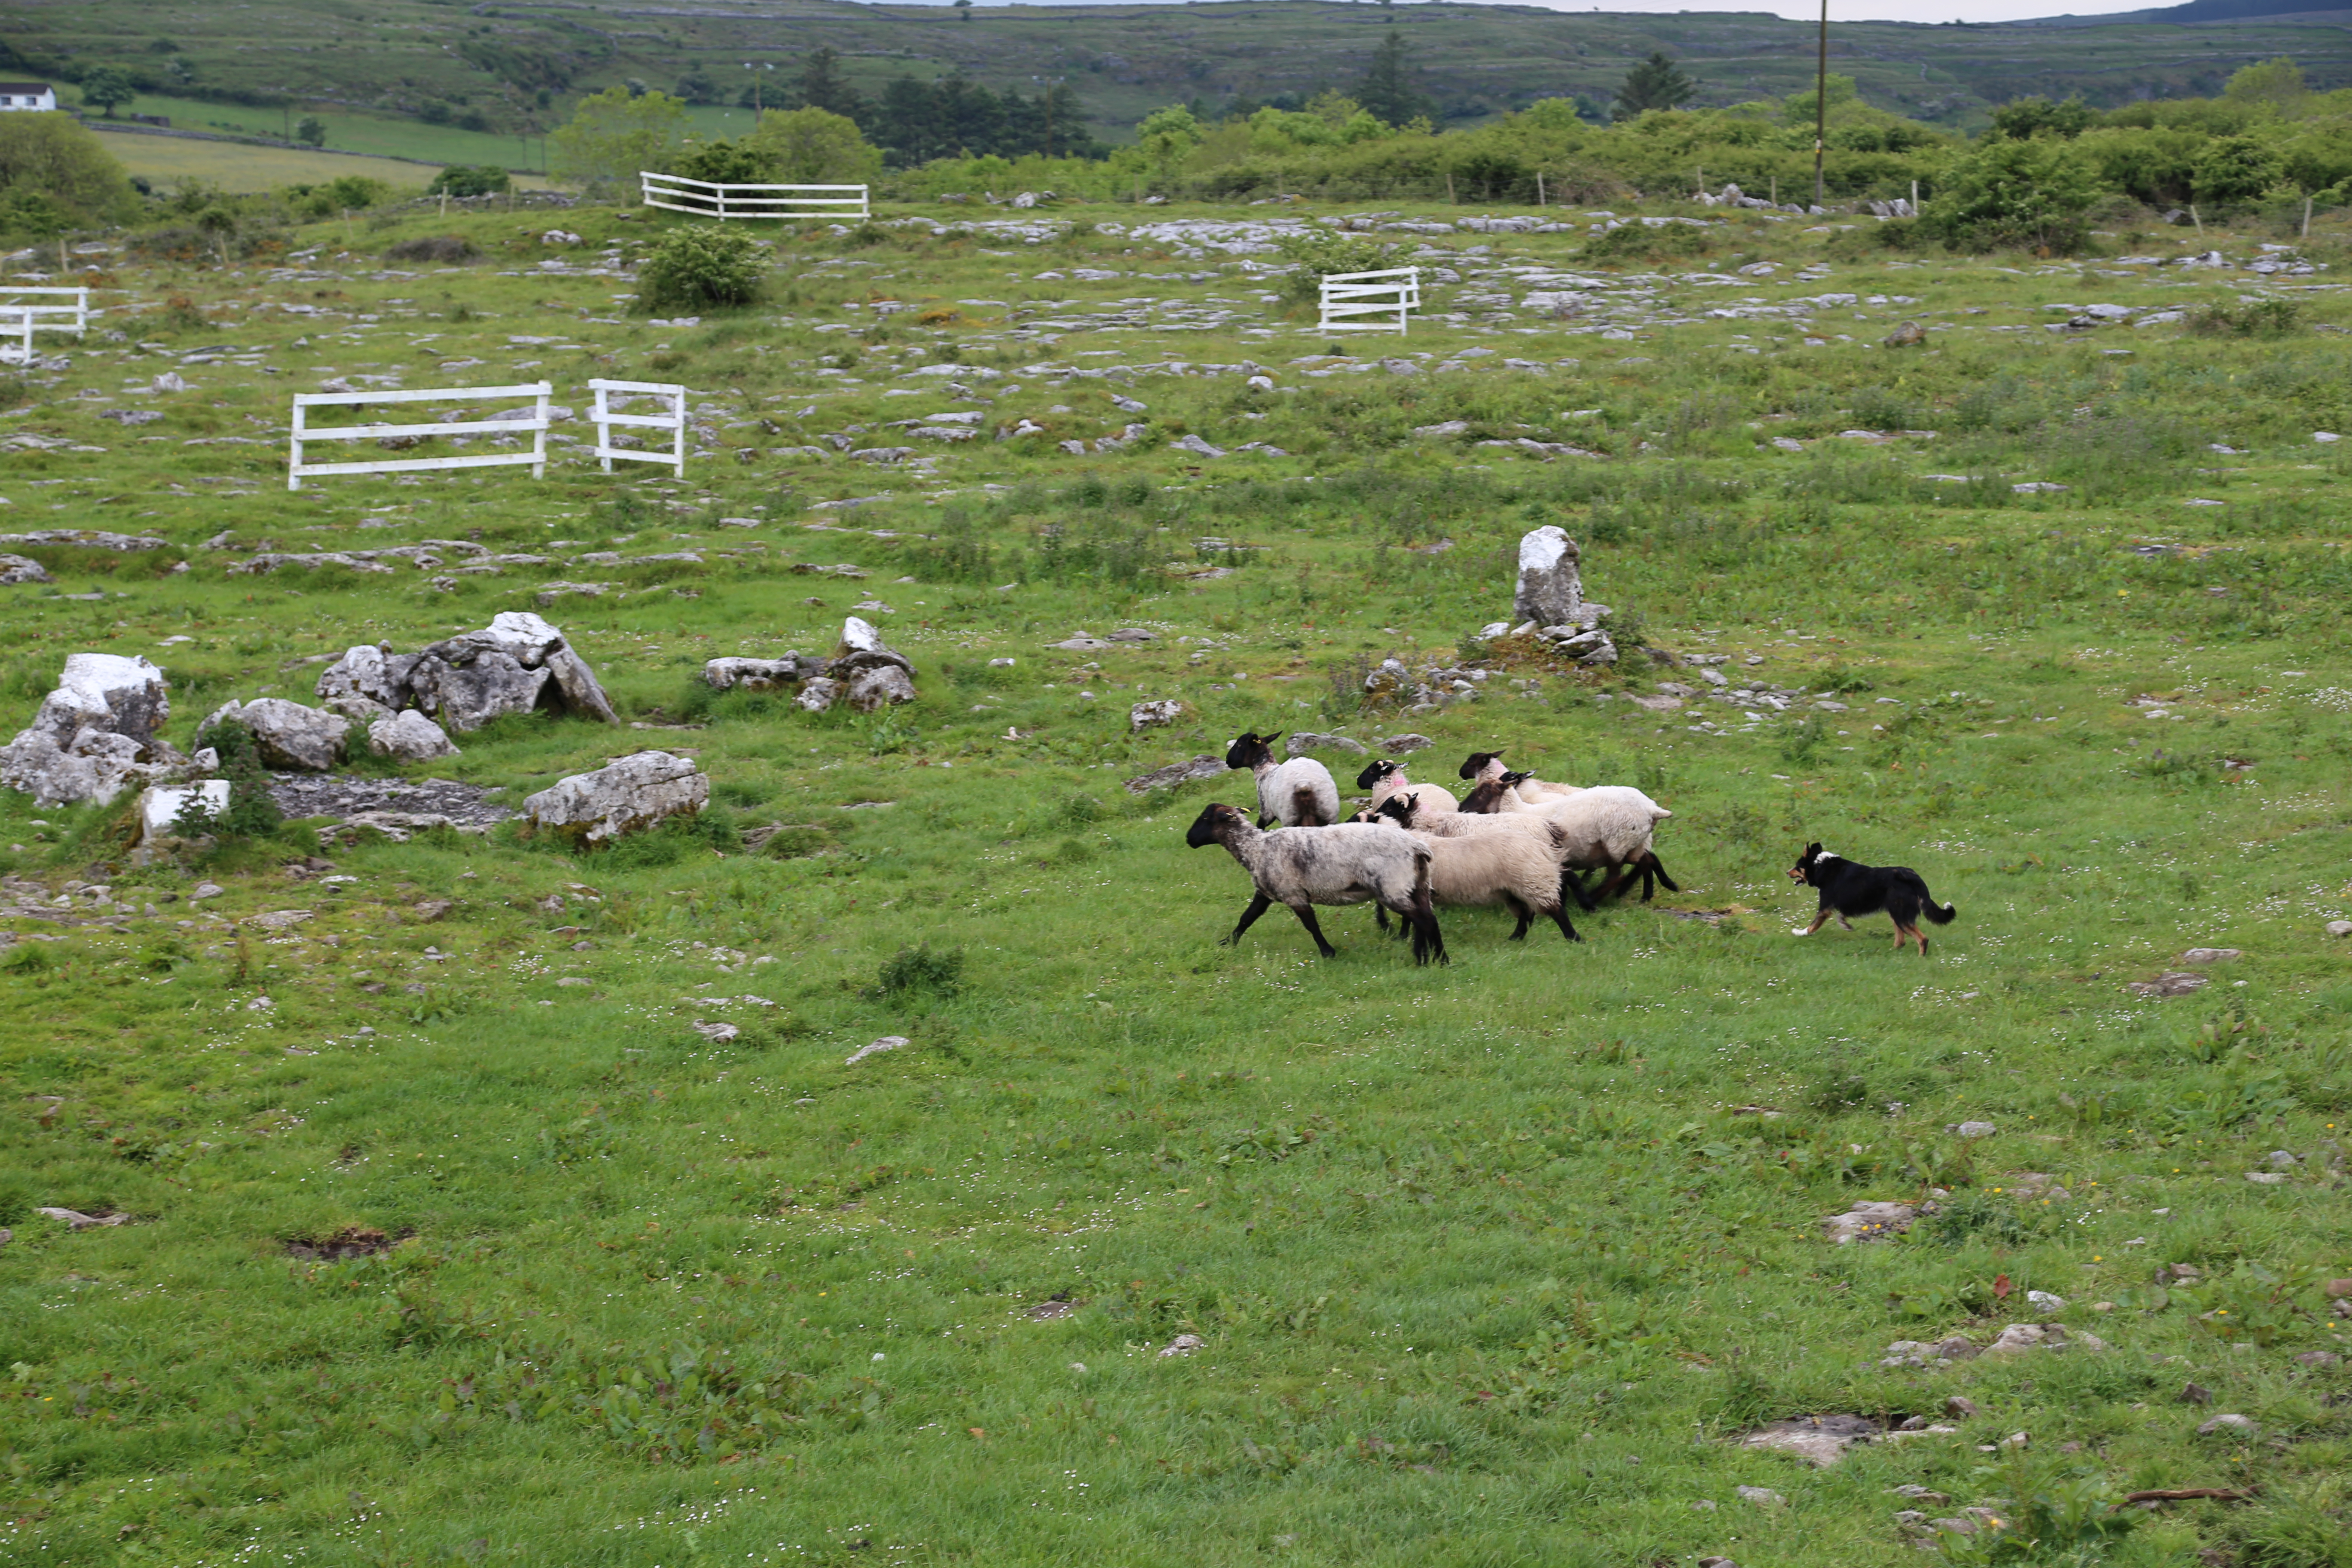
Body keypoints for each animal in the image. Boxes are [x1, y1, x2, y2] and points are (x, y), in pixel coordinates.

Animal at [1185, 804, 1439, 964]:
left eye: (1206, 818)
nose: (1189, 839)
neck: (1255, 848)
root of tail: (1417, 847)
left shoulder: (1293, 893)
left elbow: (1311, 925)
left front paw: (1328, 952)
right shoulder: (1266, 891)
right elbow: (1247, 918)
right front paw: (1227, 943)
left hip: (1392, 885)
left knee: (1423, 919)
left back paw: (1432, 958)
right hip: (1416, 885)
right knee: (1426, 918)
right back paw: (1431, 957)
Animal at [1223, 738, 1336, 832]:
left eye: (1239, 745)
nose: (1228, 760)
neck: (1265, 767)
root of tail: (1303, 783)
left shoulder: (1266, 811)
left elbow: (1260, 826)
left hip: (1289, 817)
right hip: (1328, 813)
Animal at [1787, 846, 1957, 959]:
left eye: (1798, 866)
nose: (1787, 872)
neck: (1821, 866)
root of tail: (1914, 877)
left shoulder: (1825, 907)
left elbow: (1812, 926)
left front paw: (1799, 932)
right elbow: (1841, 916)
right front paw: (1846, 926)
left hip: (1900, 914)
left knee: (1922, 939)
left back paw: (1921, 957)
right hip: (1895, 913)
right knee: (1901, 940)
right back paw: (1892, 952)